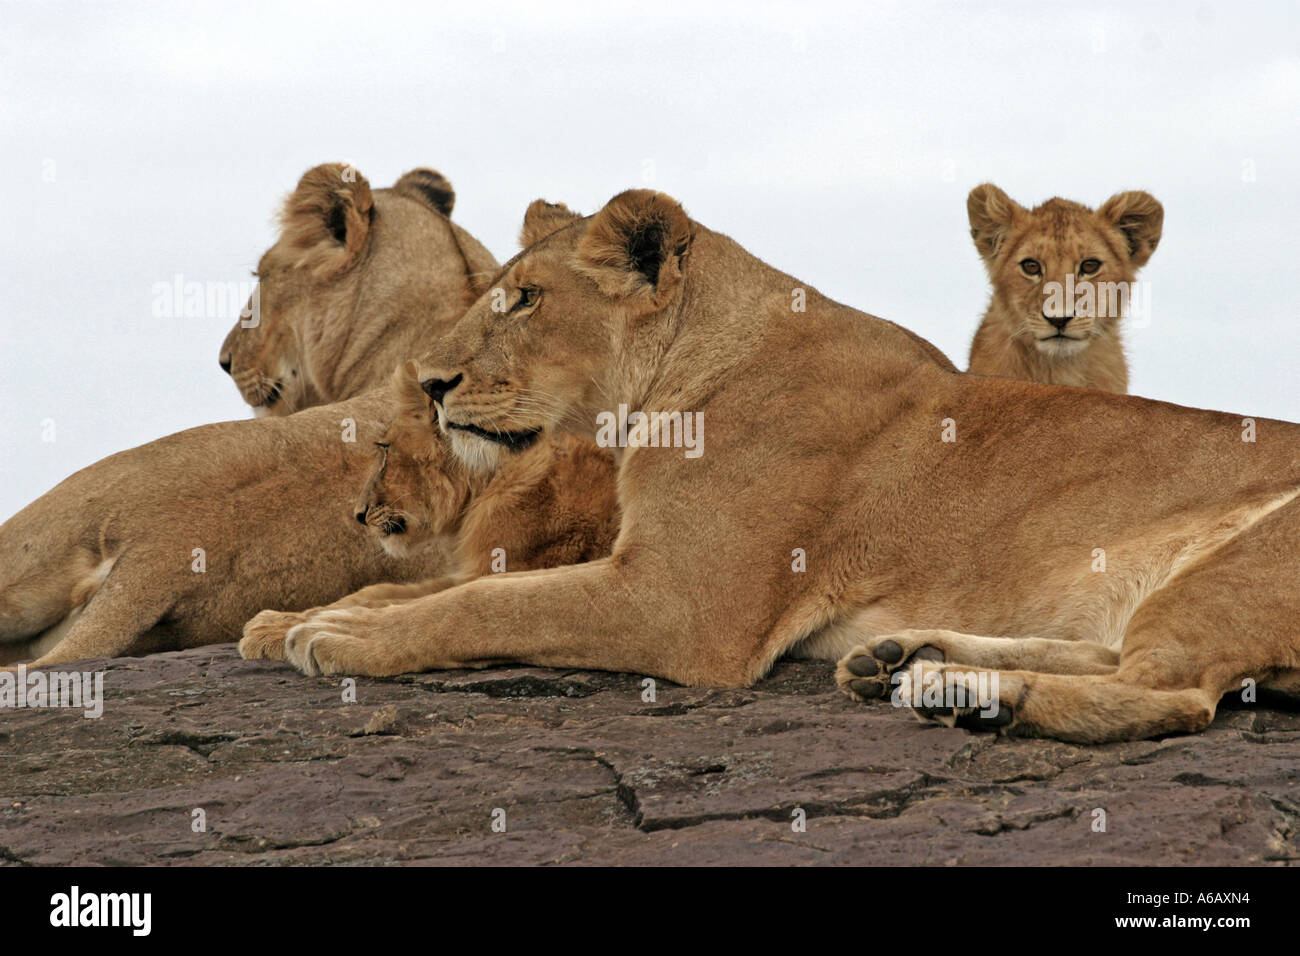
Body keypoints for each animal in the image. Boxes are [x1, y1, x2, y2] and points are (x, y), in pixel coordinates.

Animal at [238, 359, 621, 660]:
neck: (488, 483)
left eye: (384, 448)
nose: (359, 514)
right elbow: (375, 592)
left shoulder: (502, 568)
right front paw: (275, 621)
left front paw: (277, 631)